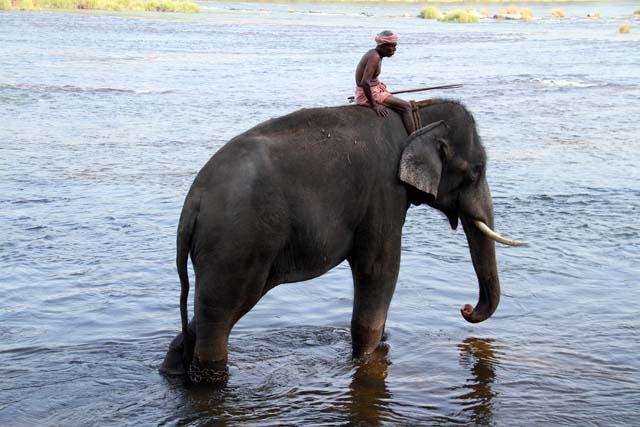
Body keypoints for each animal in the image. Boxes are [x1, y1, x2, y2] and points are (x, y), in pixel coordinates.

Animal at [160, 99, 526, 383]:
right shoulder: (384, 194)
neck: (415, 117)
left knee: (205, 316)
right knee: (219, 319)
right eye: (477, 170)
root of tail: (193, 201)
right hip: (236, 244)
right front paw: (365, 359)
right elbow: (379, 269)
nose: (465, 309)